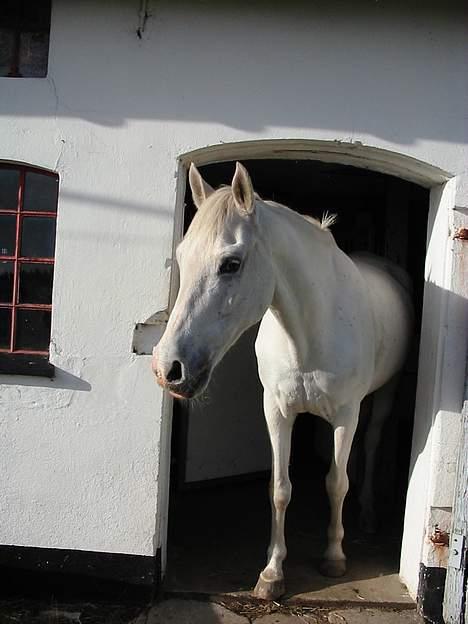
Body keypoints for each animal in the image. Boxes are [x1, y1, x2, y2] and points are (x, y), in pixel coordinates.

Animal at [152, 162, 412, 600]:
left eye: (231, 263)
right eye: (182, 257)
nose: (168, 367)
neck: (310, 330)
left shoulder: (345, 415)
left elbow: (336, 483)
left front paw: (334, 557)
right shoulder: (276, 411)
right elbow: (280, 488)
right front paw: (272, 573)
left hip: (383, 396)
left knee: (372, 442)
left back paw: (369, 514)